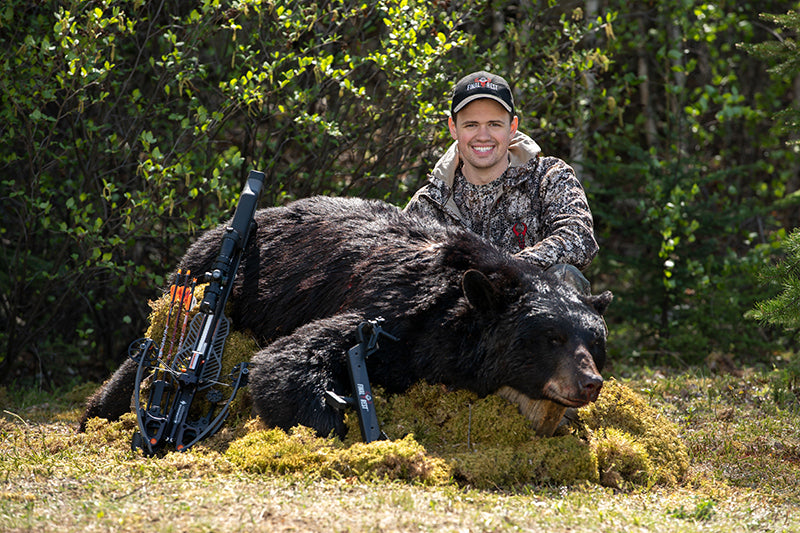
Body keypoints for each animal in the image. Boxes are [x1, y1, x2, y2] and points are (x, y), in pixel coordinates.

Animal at [81, 195, 608, 436]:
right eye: (550, 337)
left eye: (594, 342)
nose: (590, 383)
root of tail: (215, 229)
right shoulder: (388, 313)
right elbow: (285, 360)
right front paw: (334, 422)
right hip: (200, 286)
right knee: (152, 356)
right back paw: (102, 414)